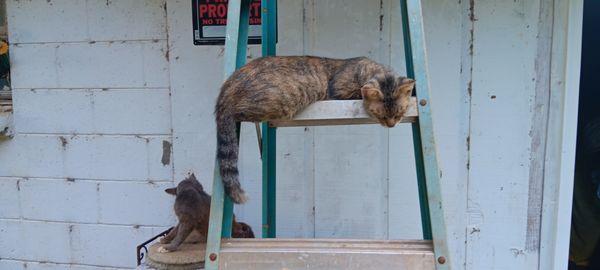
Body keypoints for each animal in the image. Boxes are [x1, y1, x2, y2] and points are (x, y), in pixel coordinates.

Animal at [216, 55, 418, 202]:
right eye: (382, 115)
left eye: (399, 113)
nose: (391, 124)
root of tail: (228, 85)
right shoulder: (340, 91)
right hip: (277, 101)